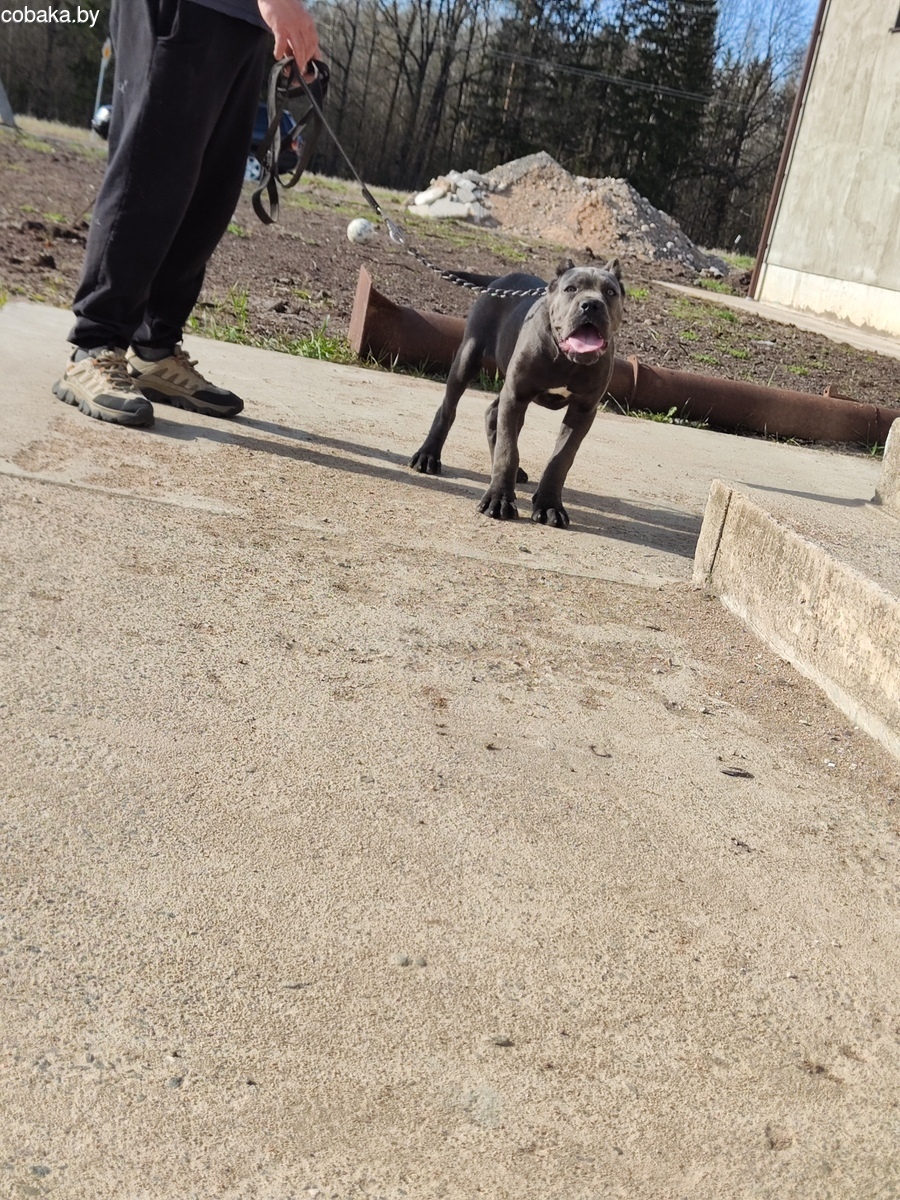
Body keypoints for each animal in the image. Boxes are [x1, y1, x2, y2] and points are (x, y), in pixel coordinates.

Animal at [409, 259, 624, 528]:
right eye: (571, 289)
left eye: (610, 292)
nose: (592, 304)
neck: (565, 359)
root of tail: (500, 280)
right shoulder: (516, 396)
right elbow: (508, 450)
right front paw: (499, 500)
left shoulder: (583, 410)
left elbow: (561, 458)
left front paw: (550, 505)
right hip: (469, 357)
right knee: (448, 409)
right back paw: (428, 456)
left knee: (493, 414)